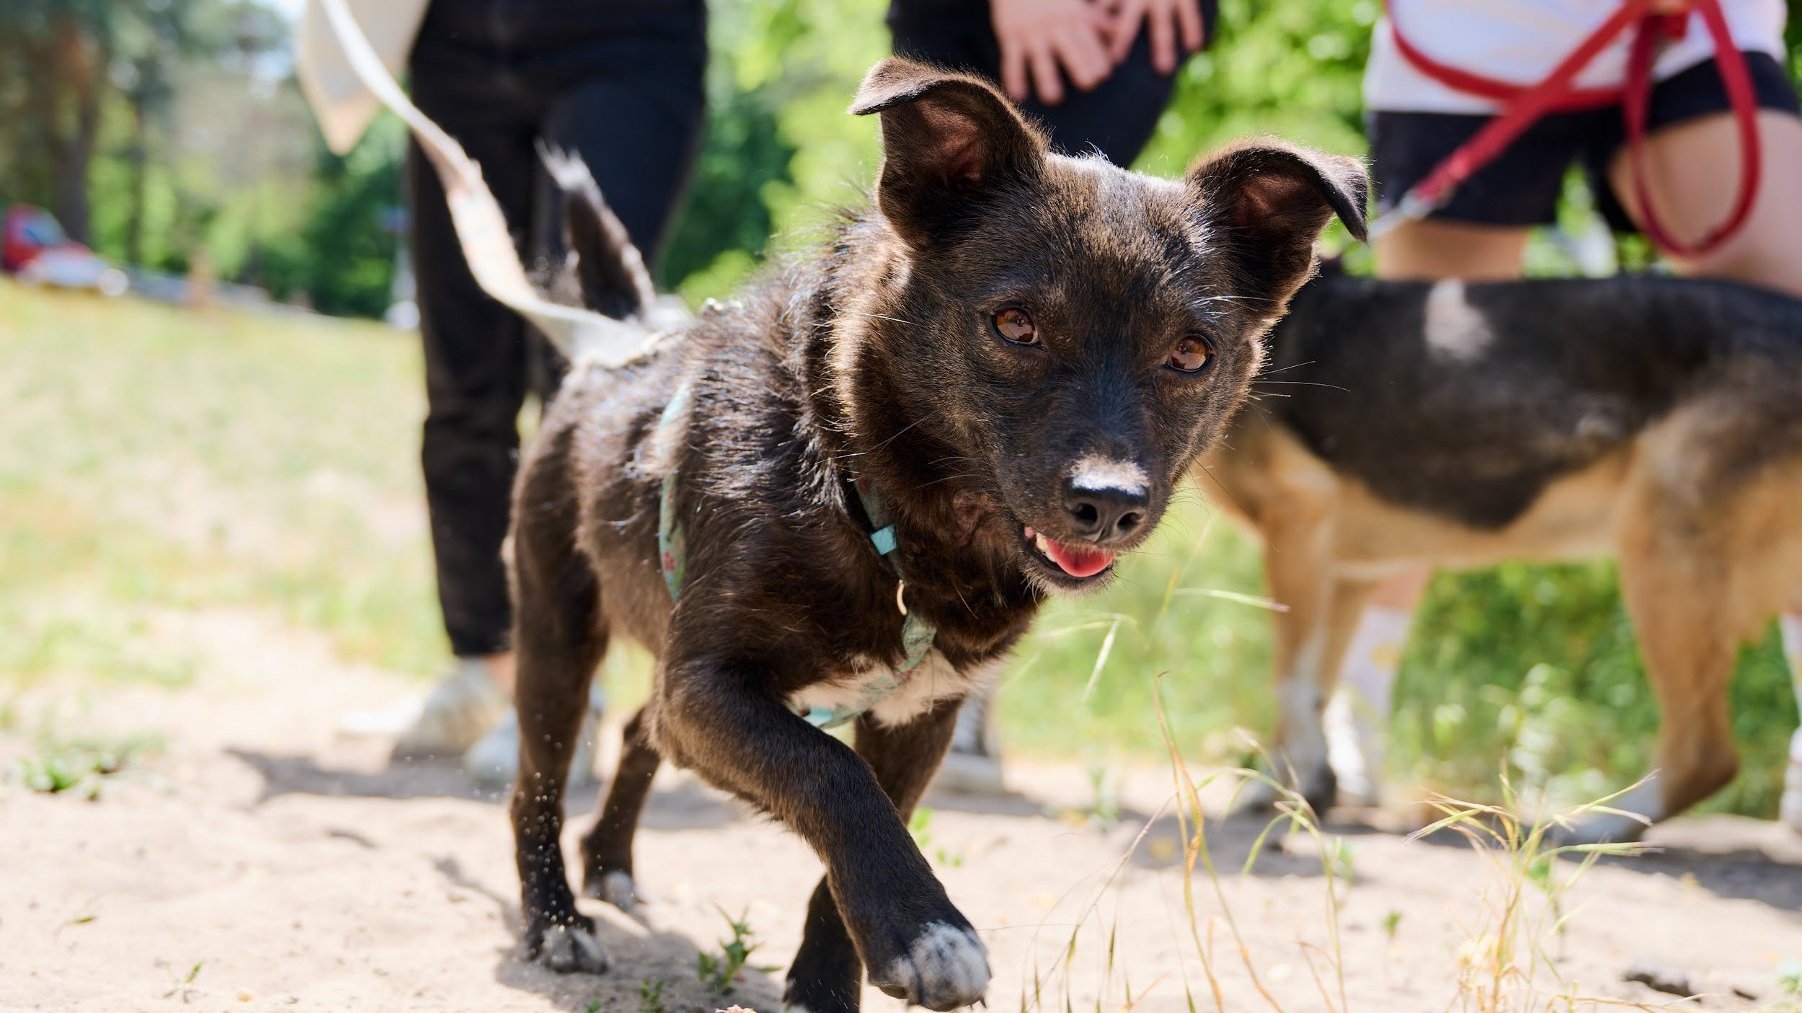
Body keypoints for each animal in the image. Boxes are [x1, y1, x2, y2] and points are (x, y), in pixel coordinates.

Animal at [1203, 264, 1802, 839]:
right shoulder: (1347, 571)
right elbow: (1317, 690)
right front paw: (1297, 784)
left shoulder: (1297, 525)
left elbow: (1290, 682)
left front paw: (1290, 785)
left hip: (1661, 552)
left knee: (1705, 754)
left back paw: (1600, 825)